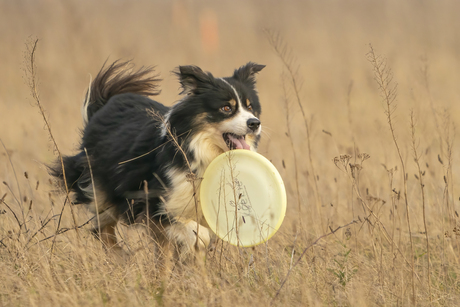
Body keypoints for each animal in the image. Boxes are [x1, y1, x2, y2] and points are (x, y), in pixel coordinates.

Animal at [49, 60, 266, 262]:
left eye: (250, 107)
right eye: (226, 108)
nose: (255, 123)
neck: (200, 152)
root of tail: (106, 104)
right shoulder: (158, 203)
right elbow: (197, 234)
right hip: (100, 188)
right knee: (103, 226)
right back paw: (121, 257)